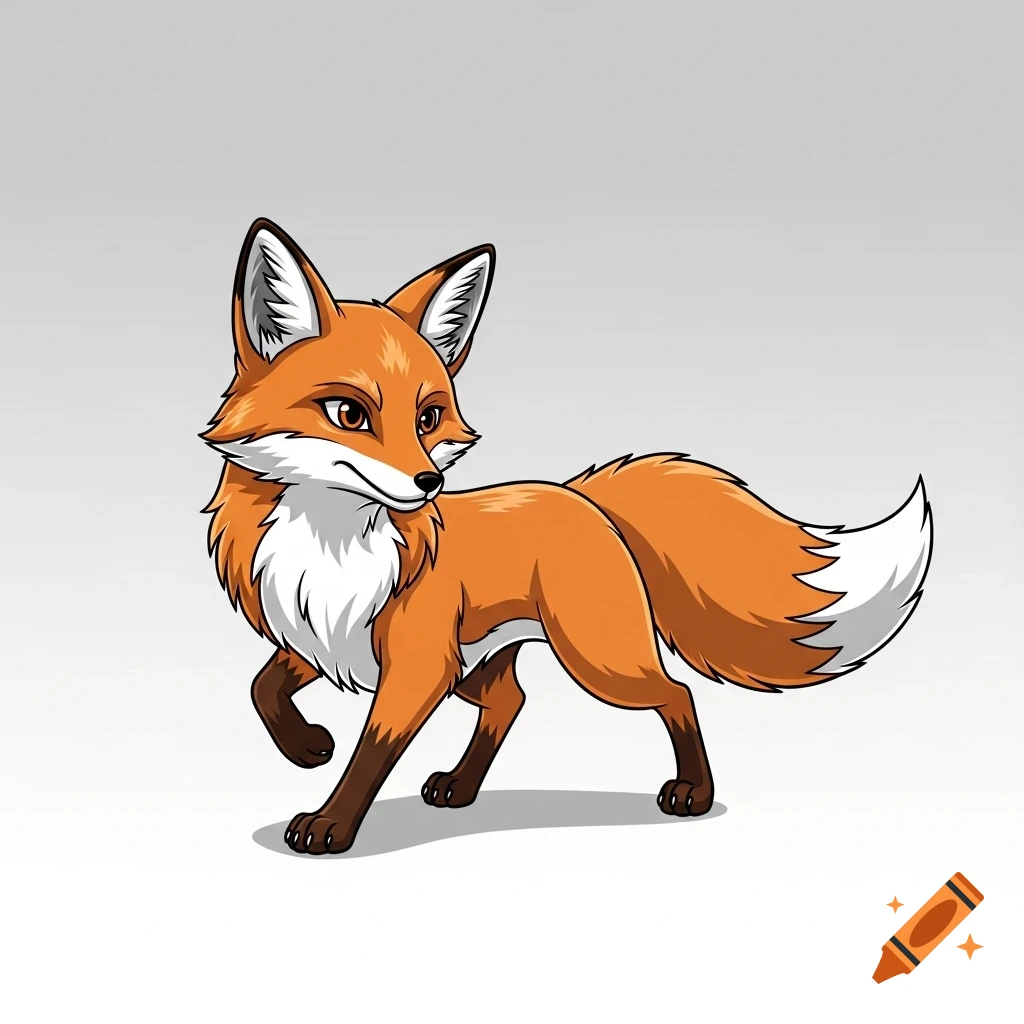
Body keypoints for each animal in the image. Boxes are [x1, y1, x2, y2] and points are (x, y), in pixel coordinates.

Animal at [203, 218, 934, 856]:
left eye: (428, 417)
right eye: (348, 414)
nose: (427, 482)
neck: (331, 544)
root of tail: (581, 496)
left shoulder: (415, 666)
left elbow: (368, 755)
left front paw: (330, 823)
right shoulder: (329, 637)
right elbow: (263, 690)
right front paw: (306, 746)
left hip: (597, 661)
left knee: (676, 693)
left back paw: (692, 792)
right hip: (479, 666)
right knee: (511, 701)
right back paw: (461, 787)